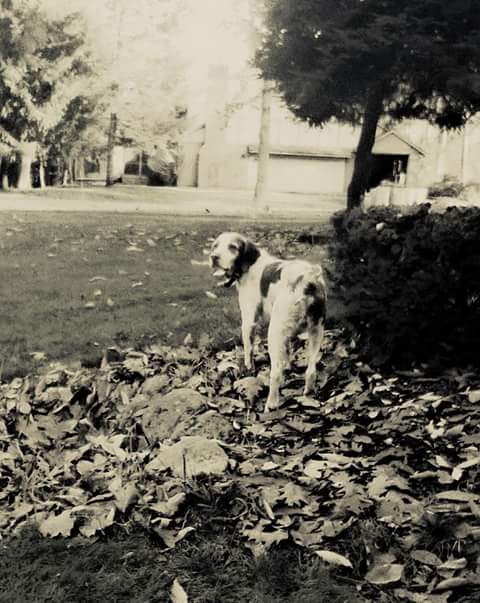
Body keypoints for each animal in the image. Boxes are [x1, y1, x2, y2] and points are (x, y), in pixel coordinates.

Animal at [210, 232, 327, 412]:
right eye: (215, 245)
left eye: (232, 247)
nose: (214, 257)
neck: (251, 265)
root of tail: (308, 280)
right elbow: (287, 353)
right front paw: (288, 366)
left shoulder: (249, 322)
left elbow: (248, 350)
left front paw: (249, 369)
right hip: (316, 332)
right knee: (311, 370)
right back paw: (308, 394)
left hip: (274, 334)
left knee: (275, 374)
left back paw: (271, 404)